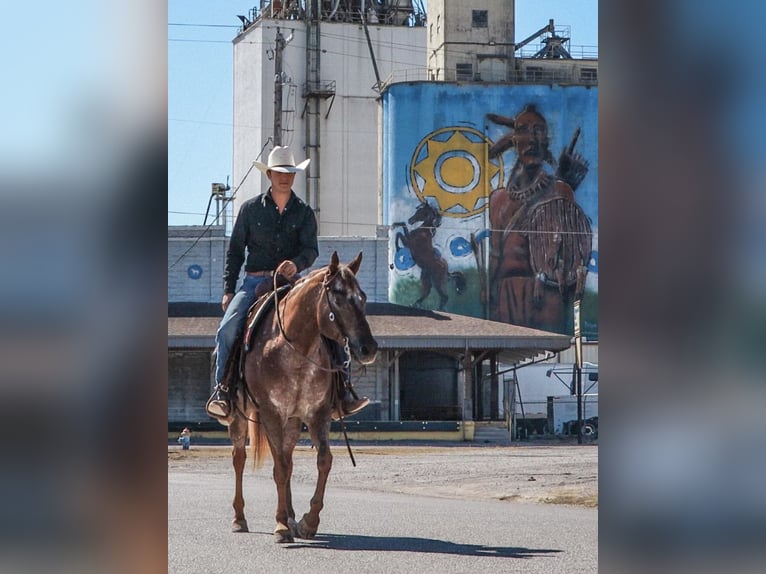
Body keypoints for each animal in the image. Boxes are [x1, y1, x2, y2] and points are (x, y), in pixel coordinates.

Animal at [222, 253, 378, 544]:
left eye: (362, 297)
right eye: (337, 297)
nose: (368, 348)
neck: (295, 349)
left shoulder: (318, 414)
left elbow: (323, 461)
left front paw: (307, 522)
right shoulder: (271, 413)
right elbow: (279, 469)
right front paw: (281, 526)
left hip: (293, 422)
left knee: (288, 459)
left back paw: (292, 517)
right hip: (239, 416)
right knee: (240, 459)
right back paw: (239, 518)